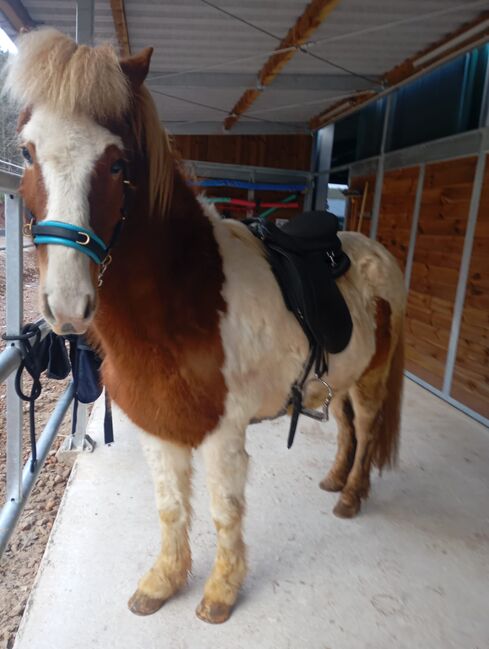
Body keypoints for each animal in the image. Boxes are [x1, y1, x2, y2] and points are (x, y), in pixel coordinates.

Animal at [5, 29, 404, 624]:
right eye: (28, 152)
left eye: (117, 164)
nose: (68, 304)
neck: (182, 303)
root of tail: (378, 253)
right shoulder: (158, 426)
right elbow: (171, 508)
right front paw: (162, 583)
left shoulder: (223, 433)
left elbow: (223, 510)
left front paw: (220, 594)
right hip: (344, 378)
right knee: (348, 428)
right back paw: (334, 479)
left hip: (373, 381)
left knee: (370, 428)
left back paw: (351, 496)